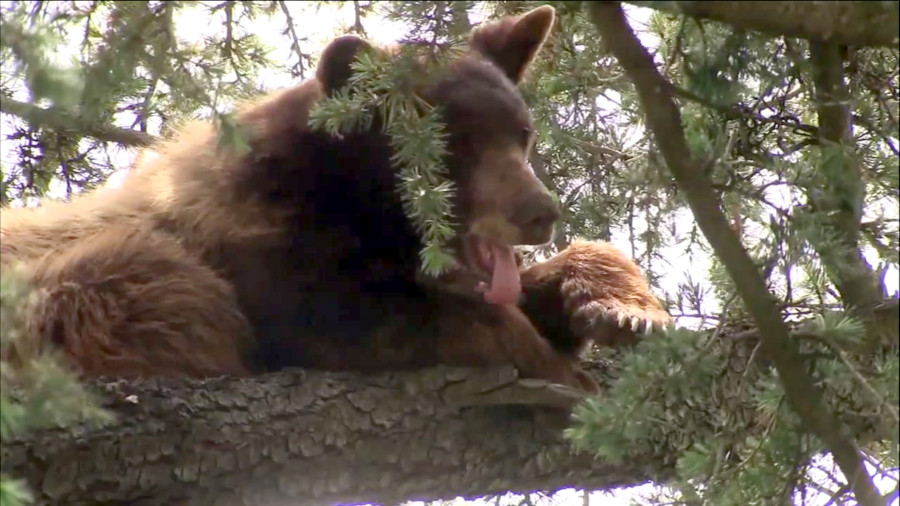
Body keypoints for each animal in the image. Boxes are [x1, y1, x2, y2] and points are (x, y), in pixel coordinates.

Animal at [0, 5, 670, 392]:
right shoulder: (253, 244)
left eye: (521, 133)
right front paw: (558, 367)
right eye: (451, 143)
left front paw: (624, 310)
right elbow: (367, 318)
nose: (540, 212)